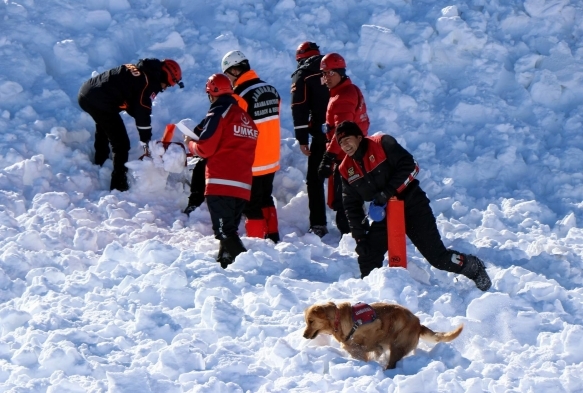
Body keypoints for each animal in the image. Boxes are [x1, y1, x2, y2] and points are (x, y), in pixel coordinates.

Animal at [304, 302, 464, 370]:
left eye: (311, 321)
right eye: (306, 322)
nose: (304, 335)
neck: (338, 319)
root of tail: (419, 324)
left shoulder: (375, 326)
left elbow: (363, 346)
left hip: (398, 346)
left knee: (391, 364)